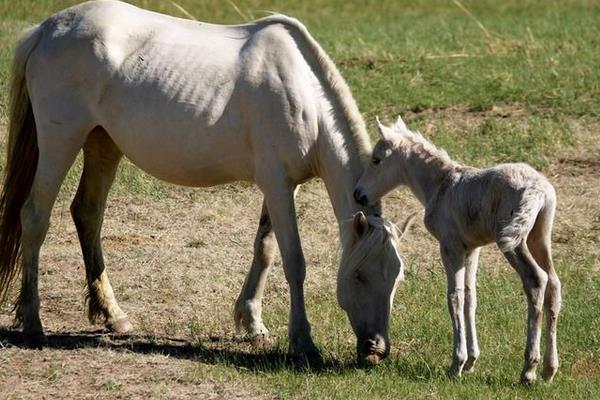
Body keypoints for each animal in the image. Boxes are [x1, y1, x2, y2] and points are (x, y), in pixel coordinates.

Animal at [0, 0, 408, 364]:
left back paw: (114, 316)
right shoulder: (277, 185)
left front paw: (252, 323)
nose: (376, 350)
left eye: (397, 278)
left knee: (88, 214)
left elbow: (265, 250)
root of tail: (46, 29)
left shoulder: (281, 186)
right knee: (35, 217)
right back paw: (33, 323)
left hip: (103, 144)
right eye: (359, 276)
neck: (303, 92)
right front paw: (303, 342)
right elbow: (294, 261)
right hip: (61, 141)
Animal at [354, 115, 560, 382]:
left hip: (513, 242)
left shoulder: (450, 246)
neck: (440, 185)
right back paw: (549, 369)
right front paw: (472, 361)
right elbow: (471, 297)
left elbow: (455, 296)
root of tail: (539, 191)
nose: (359, 194)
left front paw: (457, 364)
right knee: (554, 284)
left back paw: (529, 369)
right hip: (539, 237)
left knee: (536, 280)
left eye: (376, 160)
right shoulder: (471, 249)